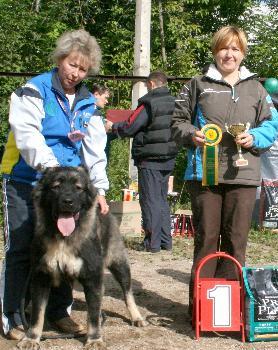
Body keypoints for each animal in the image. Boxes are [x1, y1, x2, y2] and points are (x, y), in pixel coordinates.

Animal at [17, 166, 147, 350]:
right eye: (56, 186)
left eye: (78, 188)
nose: (68, 201)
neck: (64, 238)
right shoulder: (41, 277)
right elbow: (37, 314)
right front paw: (31, 338)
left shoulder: (92, 277)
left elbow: (92, 314)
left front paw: (94, 339)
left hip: (119, 264)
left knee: (127, 292)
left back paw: (136, 317)